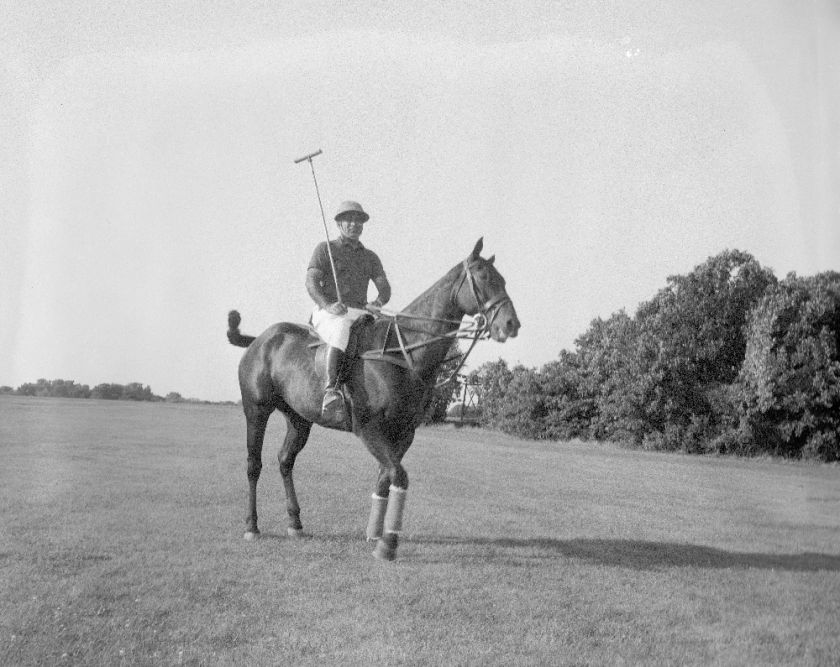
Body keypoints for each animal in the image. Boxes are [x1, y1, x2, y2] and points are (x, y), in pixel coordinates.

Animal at [226, 237, 520, 560]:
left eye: (503, 280)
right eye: (484, 277)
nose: (511, 324)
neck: (403, 352)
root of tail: (257, 339)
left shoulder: (404, 432)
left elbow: (385, 476)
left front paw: (374, 535)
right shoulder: (367, 428)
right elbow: (399, 476)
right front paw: (388, 544)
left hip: (299, 418)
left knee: (285, 460)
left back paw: (295, 523)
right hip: (256, 410)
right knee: (254, 464)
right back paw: (252, 526)